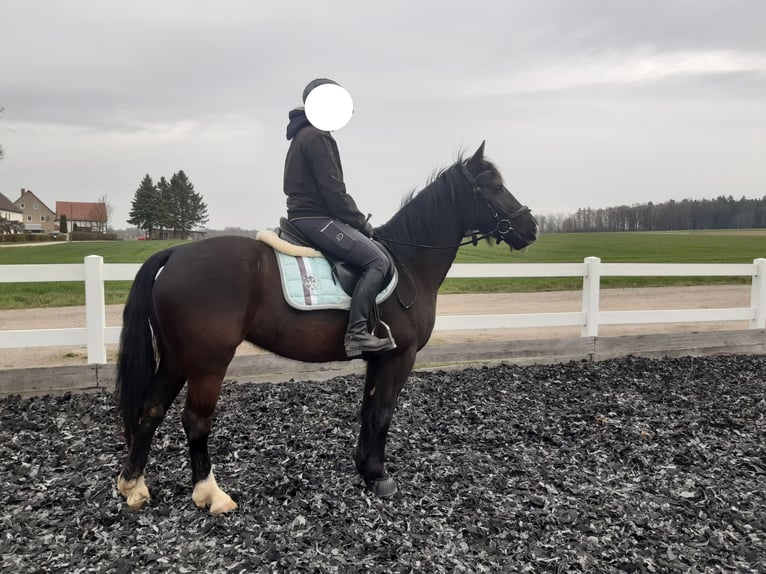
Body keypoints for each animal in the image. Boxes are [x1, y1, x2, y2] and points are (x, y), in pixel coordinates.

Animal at [116, 142, 538, 514]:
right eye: (494, 186)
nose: (531, 226)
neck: (409, 263)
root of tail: (175, 253)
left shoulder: (378, 358)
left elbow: (368, 411)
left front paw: (364, 469)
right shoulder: (400, 358)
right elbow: (383, 413)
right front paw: (379, 476)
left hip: (176, 358)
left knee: (151, 409)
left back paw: (134, 486)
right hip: (207, 362)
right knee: (195, 421)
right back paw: (211, 494)